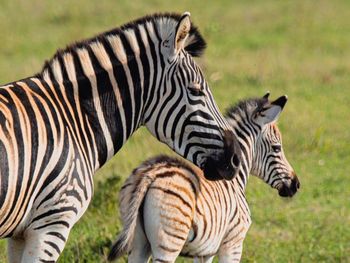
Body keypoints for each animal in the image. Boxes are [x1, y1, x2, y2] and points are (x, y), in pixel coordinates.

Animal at [108, 93, 300, 262]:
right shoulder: (233, 243)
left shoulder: (206, 251)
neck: (235, 180)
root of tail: (150, 174)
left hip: (137, 243)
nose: (296, 185)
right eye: (277, 148)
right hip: (169, 242)